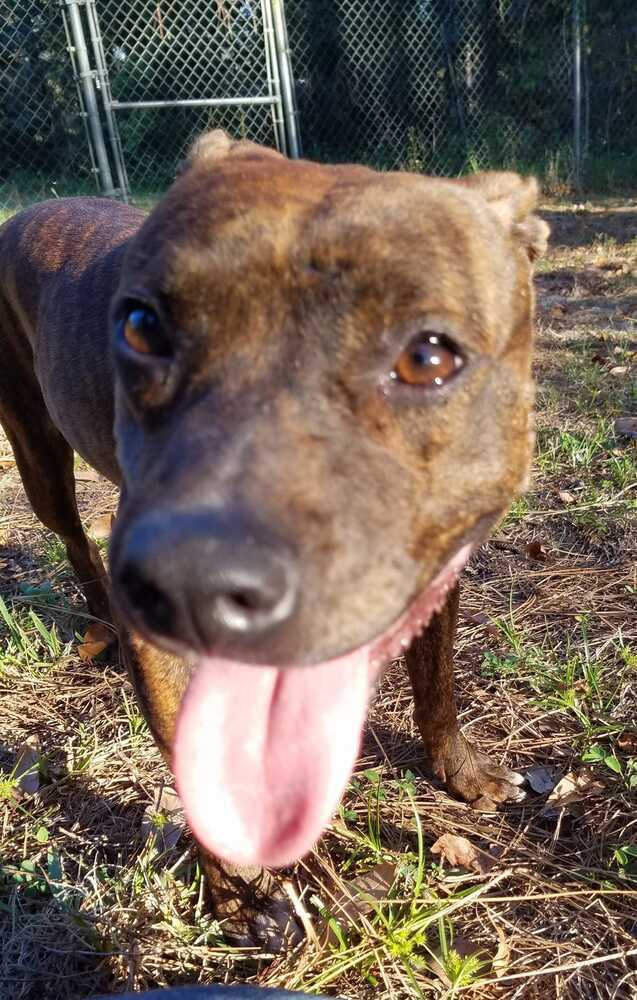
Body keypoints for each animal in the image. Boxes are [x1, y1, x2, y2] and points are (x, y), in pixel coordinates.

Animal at [0, 131, 548, 944]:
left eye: (428, 355)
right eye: (141, 326)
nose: (193, 581)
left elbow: (437, 681)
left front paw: (459, 770)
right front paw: (242, 895)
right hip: (38, 460)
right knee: (72, 537)